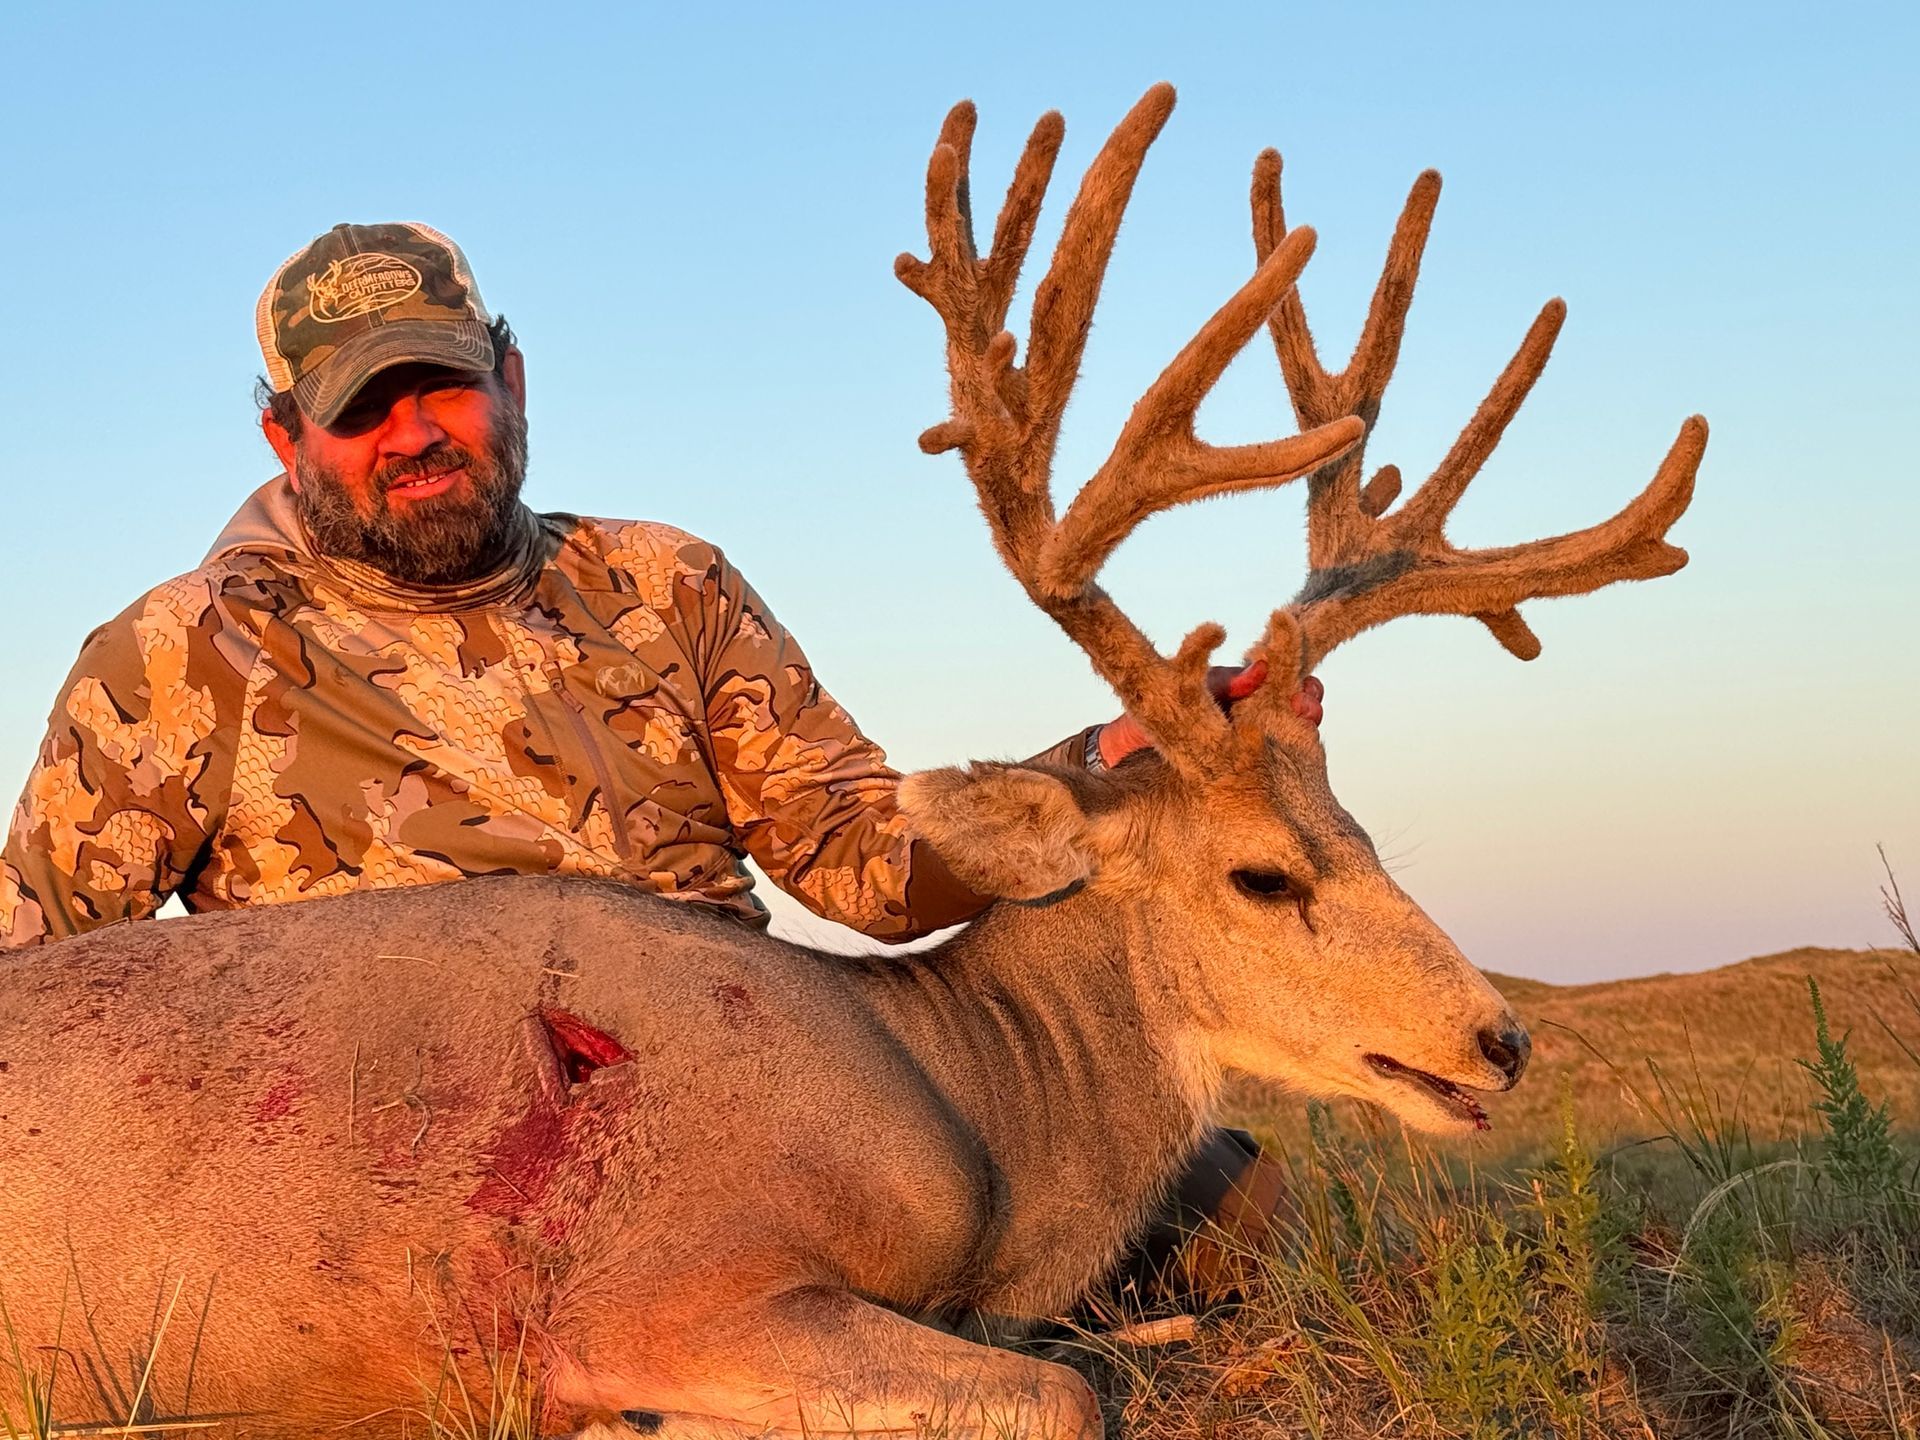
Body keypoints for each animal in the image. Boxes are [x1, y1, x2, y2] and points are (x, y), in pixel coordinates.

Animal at [0, 85, 1704, 1440]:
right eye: (1262, 875)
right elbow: (1065, 1392)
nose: (1498, 1041)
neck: (969, 1107)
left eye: (1363, 831)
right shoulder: (655, 1285)